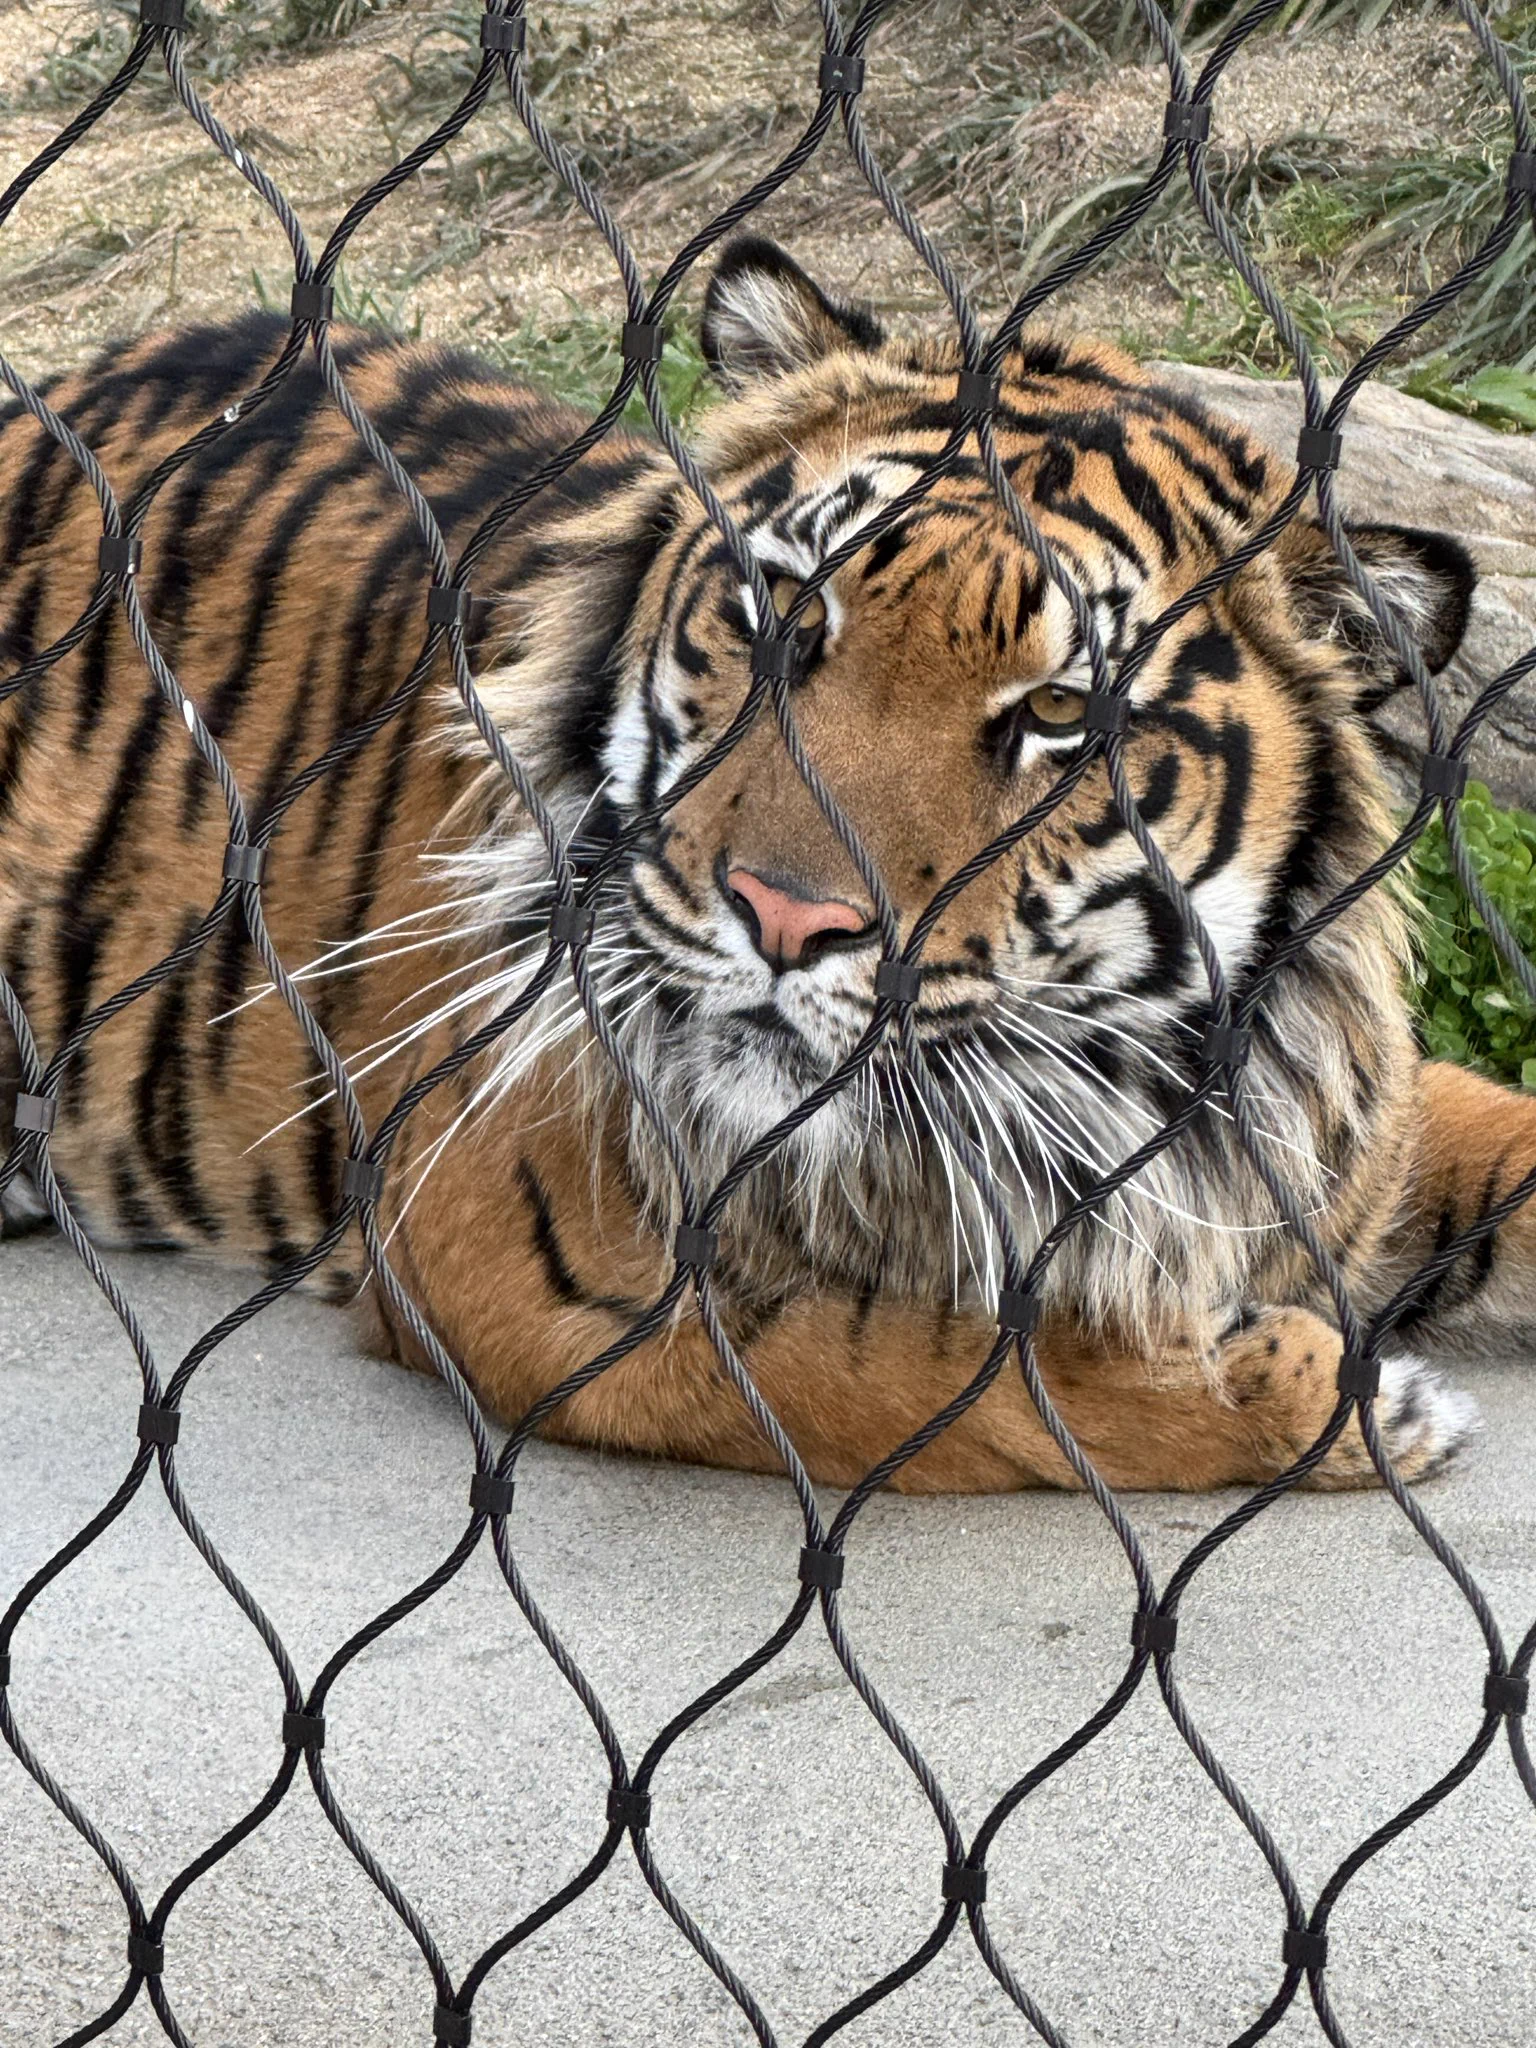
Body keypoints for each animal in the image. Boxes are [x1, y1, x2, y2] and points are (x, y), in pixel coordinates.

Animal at [2, 233, 1531, 1495]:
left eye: (1060, 714)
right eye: (788, 613)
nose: (786, 920)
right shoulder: (509, 1247)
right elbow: (936, 1374)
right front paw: (1346, 1399)